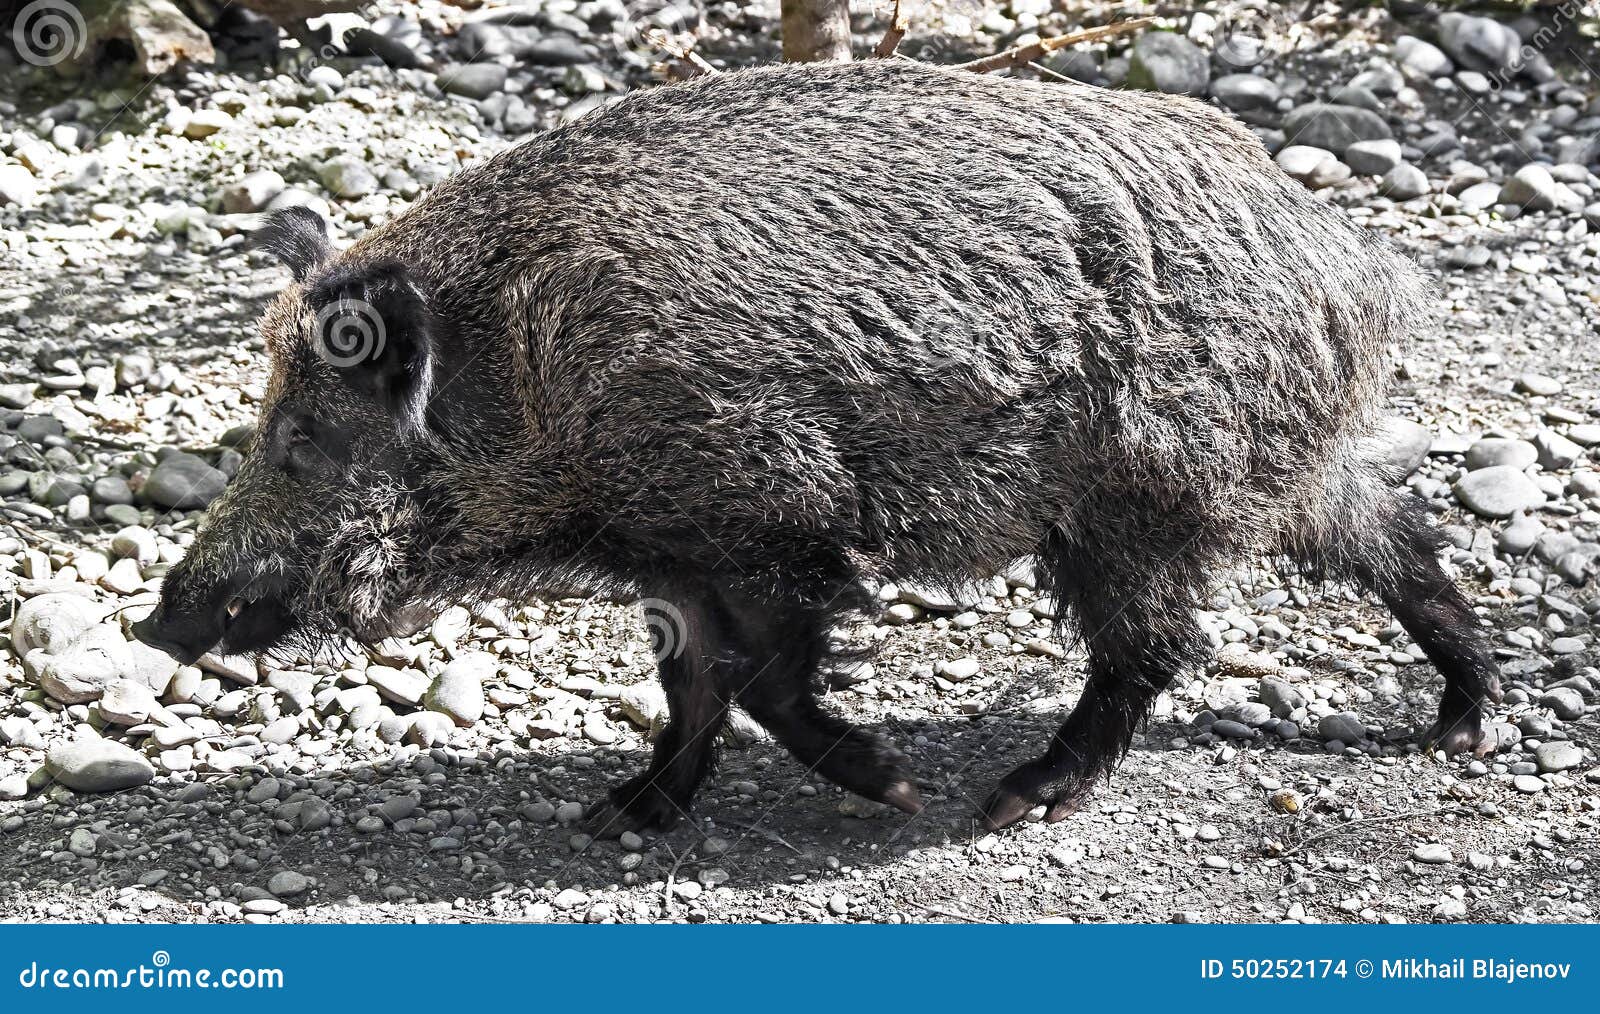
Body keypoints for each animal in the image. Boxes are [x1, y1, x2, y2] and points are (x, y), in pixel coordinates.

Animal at [133, 59, 1502, 834]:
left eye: (304, 436)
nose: (157, 621)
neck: (530, 375)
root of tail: (1349, 263)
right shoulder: (675, 556)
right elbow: (691, 690)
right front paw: (616, 819)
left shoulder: (768, 514)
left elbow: (766, 685)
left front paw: (892, 787)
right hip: (1266, 469)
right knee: (1393, 537)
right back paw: (1454, 725)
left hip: (1142, 489)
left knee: (1153, 648)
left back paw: (1010, 801)